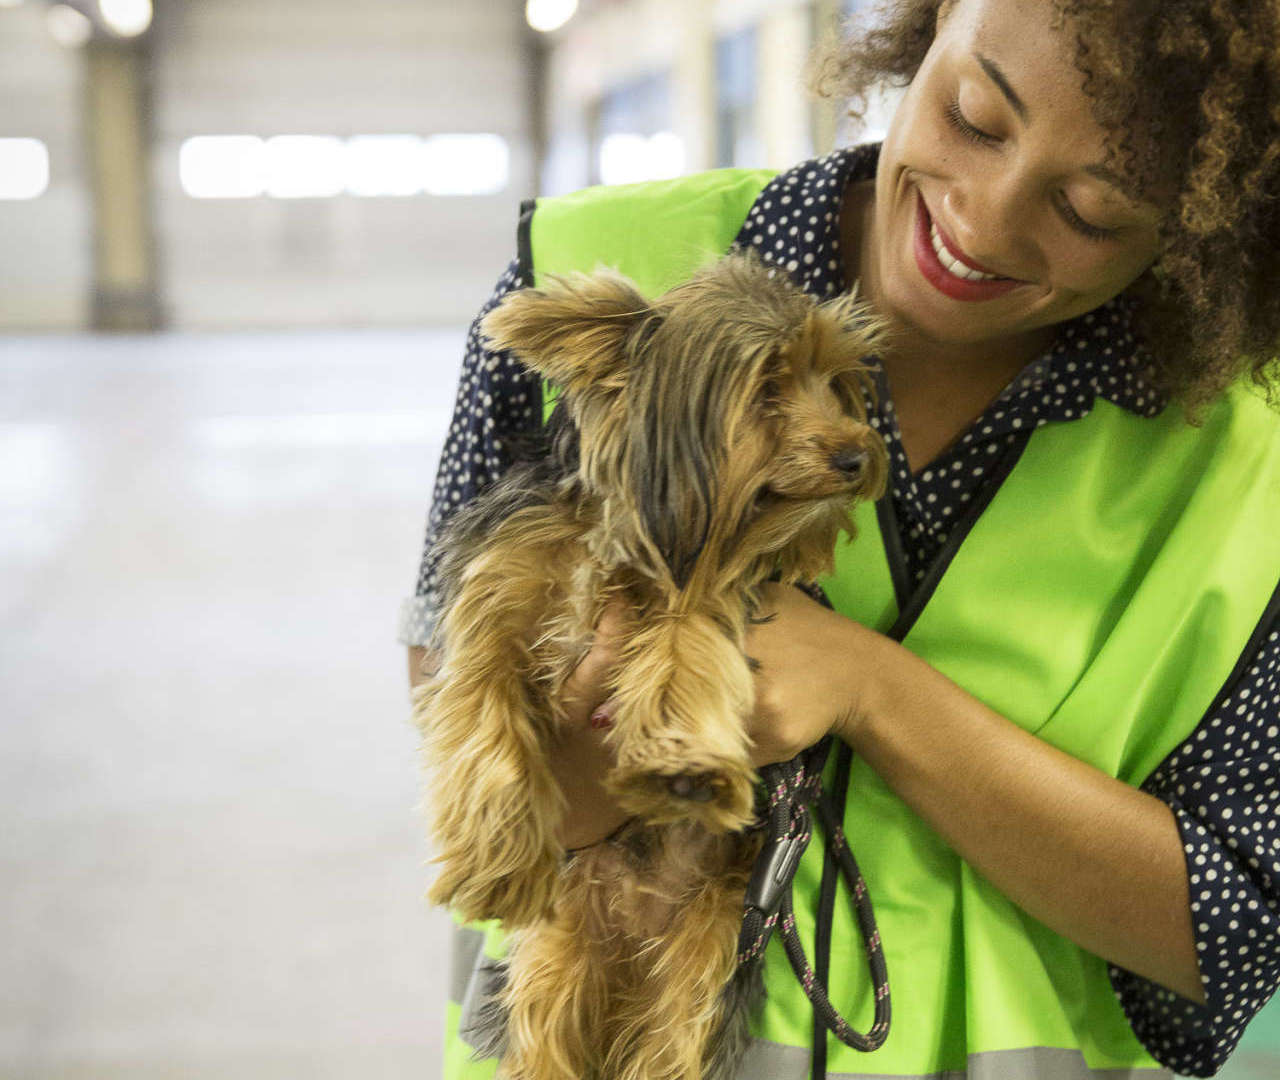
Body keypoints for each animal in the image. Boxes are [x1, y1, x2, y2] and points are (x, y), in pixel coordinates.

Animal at [414, 253, 885, 1080]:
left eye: (835, 382)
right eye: (767, 387)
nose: (857, 455)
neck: (619, 526)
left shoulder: (703, 583)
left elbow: (684, 652)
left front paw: (684, 764)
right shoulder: (492, 601)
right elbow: (483, 714)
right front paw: (498, 861)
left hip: (705, 951)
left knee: (670, 1038)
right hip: (557, 955)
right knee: (547, 1033)